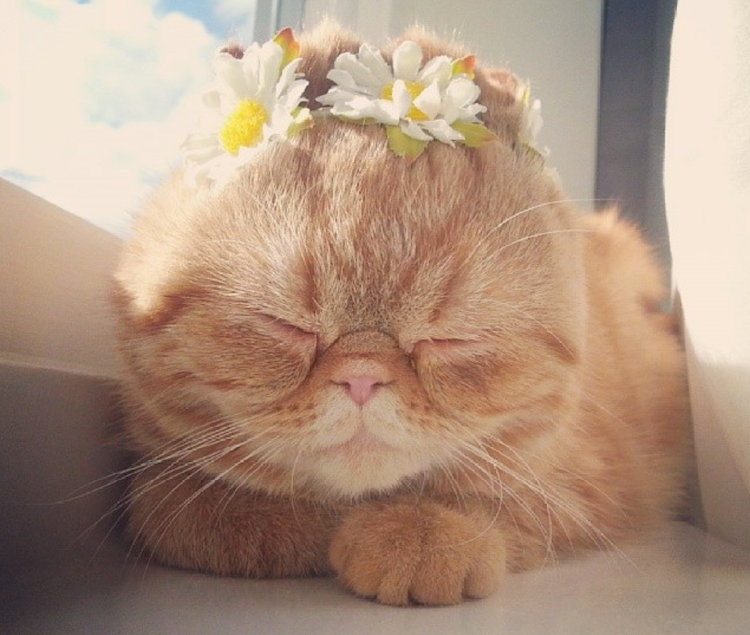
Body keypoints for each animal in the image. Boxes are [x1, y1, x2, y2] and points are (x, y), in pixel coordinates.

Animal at [111, 23, 690, 606]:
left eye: (451, 339)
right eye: (285, 326)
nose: (362, 378)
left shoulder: (594, 482)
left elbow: (506, 500)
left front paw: (420, 532)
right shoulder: (157, 474)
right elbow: (186, 507)